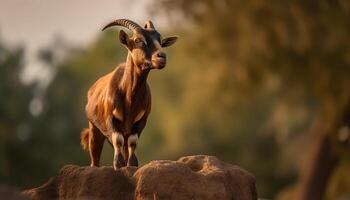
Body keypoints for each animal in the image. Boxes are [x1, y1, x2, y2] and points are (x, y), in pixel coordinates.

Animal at [80, 18, 176, 170]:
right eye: (138, 40)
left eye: (160, 41)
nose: (161, 57)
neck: (129, 98)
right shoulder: (111, 120)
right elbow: (117, 139)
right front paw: (118, 164)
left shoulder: (140, 121)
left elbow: (133, 141)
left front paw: (132, 164)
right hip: (94, 128)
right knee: (95, 155)